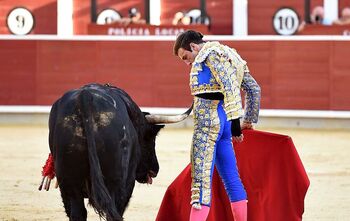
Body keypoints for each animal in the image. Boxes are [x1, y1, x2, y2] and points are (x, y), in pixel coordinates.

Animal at [47, 83, 191, 220]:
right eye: (149, 138)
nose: (154, 170)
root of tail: (85, 97)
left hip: (69, 182)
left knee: (78, 214)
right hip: (116, 182)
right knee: (114, 213)